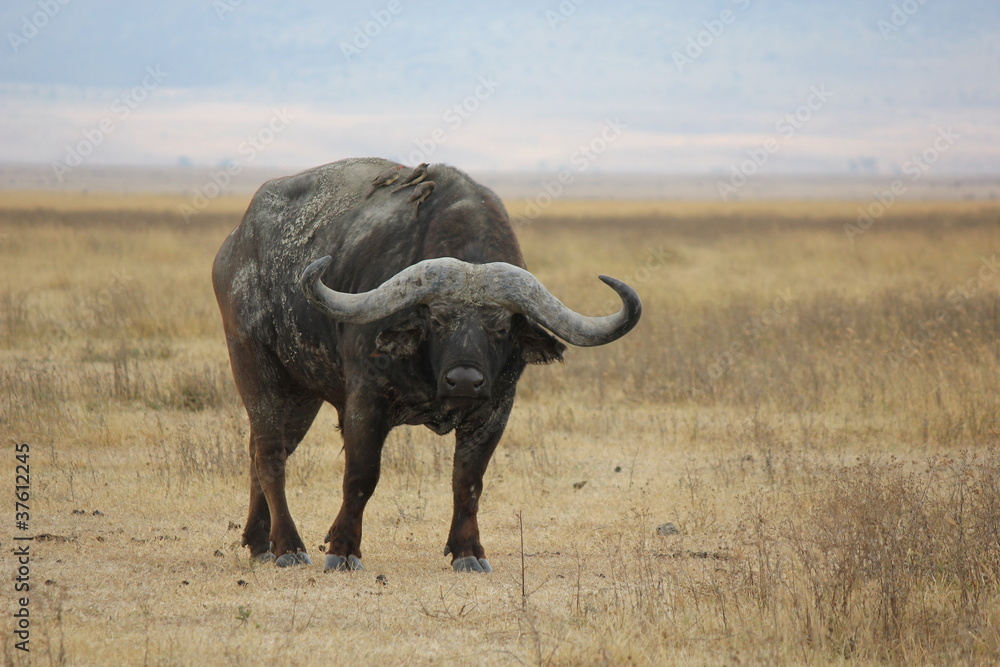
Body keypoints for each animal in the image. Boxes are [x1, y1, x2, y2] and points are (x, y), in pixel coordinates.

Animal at [212, 158, 641, 572]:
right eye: (437, 320)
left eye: (501, 328)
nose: (464, 381)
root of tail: (234, 246)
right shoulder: (365, 401)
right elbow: (361, 477)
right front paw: (343, 549)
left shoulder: (495, 409)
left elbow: (468, 482)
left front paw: (468, 551)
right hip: (253, 366)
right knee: (270, 456)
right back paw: (288, 547)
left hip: (303, 394)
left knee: (263, 453)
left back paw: (259, 544)